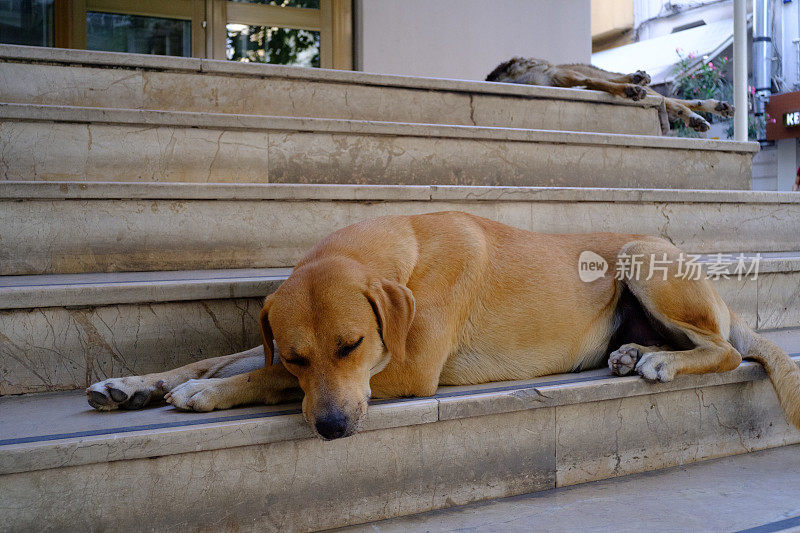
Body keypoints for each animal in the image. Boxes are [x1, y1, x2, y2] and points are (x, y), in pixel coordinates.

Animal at [87, 210, 800, 438]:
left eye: (353, 344)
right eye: (295, 353)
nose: (333, 428)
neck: (407, 252)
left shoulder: (403, 369)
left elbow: (253, 381)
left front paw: (204, 394)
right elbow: (226, 360)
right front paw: (135, 384)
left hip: (640, 257)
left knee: (726, 351)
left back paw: (657, 360)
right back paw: (626, 355)